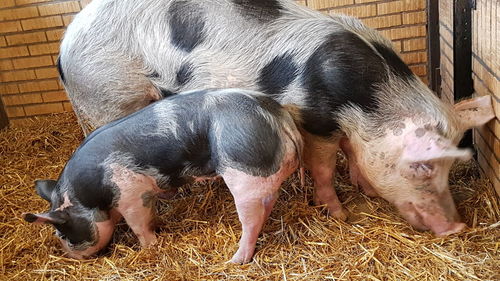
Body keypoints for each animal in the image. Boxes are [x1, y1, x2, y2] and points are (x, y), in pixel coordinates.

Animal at [24, 89, 300, 262]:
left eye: (62, 234)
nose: (75, 257)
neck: (91, 196)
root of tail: (279, 118)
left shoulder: (131, 194)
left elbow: (139, 225)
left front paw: (148, 247)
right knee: (268, 203)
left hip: (243, 175)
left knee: (251, 221)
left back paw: (235, 261)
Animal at [58, 0, 496, 234]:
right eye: (422, 166)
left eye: (450, 168)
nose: (457, 227)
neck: (365, 100)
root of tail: (64, 49)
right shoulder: (314, 120)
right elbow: (323, 168)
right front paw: (340, 213)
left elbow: (354, 155)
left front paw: (366, 190)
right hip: (109, 96)